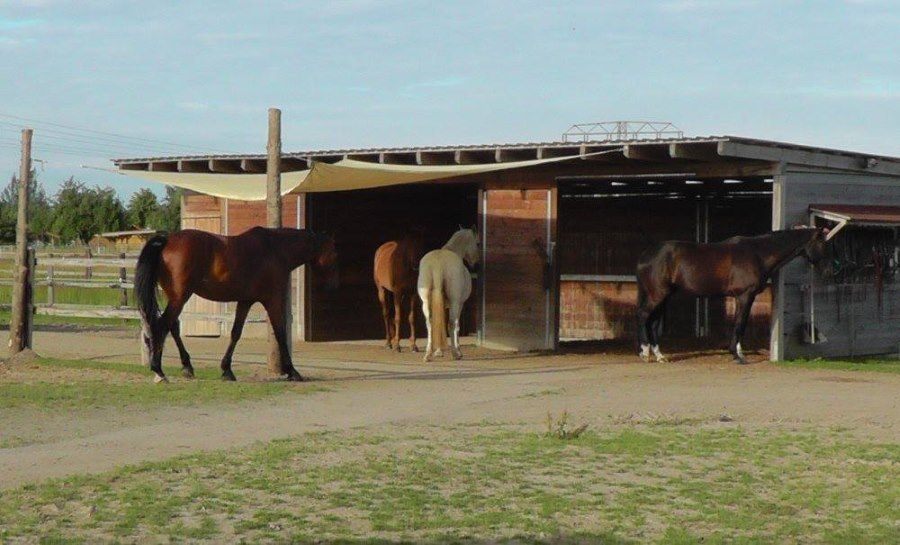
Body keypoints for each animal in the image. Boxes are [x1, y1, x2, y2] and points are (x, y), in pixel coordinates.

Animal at [135, 225, 340, 382]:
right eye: (334, 252)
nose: (333, 285)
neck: (275, 250)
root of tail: (167, 240)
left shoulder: (245, 301)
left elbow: (236, 333)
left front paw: (227, 370)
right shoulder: (272, 300)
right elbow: (280, 332)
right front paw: (292, 371)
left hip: (176, 298)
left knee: (172, 327)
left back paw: (186, 366)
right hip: (180, 298)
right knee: (162, 325)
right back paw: (159, 370)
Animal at [418, 225, 482, 362]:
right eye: (478, 243)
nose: (476, 265)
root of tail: (438, 263)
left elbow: (440, 324)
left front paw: (438, 351)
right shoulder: (460, 304)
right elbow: (455, 326)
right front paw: (458, 350)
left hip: (426, 302)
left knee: (430, 322)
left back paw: (428, 354)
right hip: (455, 302)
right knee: (453, 323)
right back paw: (455, 353)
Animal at [636, 227, 828, 364]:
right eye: (822, 244)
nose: (827, 271)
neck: (758, 253)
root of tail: (646, 255)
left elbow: (740, 324)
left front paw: (737, 353)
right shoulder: (744, 296)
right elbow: (739, 324)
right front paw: (738, 356)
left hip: (664, 296)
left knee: (653, 322)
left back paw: (660, 356)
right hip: (657, 295)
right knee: (643, 316)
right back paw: (644, 353)